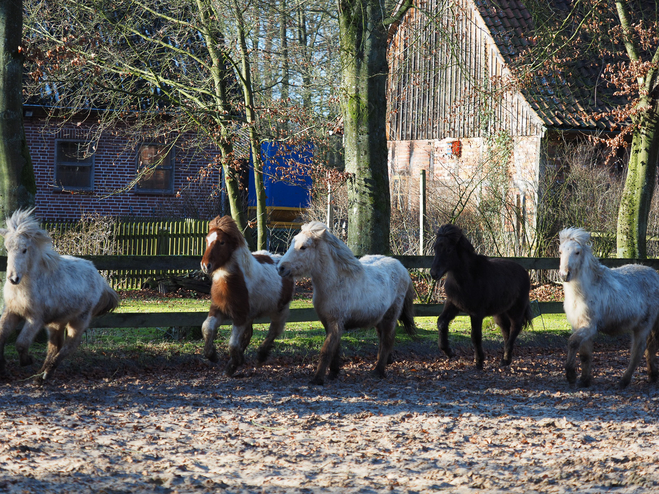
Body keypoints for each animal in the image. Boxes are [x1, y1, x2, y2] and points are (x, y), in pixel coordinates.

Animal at [200, 215, 296, 374]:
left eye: (222, 242)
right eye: (207, 240)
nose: (205, 266)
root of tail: (279, 260)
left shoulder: (240, 316)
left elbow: (232, 343)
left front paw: (232, 366)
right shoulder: (218, 309)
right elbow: (206, 327)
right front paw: (212, 355)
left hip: (280, 310)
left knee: (274, 331)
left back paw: (261, 356)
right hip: (252, 315)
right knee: (249, 334)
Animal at [278, 221, 412, 386]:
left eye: (303, 247)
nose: (281, 268)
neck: (335, 282)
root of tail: (401, 267)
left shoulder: (336, 322)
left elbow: (327, 350)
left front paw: (317, 379)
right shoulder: (328, 322)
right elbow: (335, 348)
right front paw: (333, 373)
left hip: (390, 316)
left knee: (387, 340)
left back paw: (378, 371)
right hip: (379, 318)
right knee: (382, 338)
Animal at [430, 226, 532, 368]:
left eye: (448, 249)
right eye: (435, 248)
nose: (433, 273)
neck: (468, 278)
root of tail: (524, 272)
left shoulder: (476, 313)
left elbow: (475, 336)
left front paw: (479, 361)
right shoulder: (453, 305)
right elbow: (441, 323)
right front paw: (449, 352)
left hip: (516, 309)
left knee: (515, 328)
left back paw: (505, 359)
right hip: (500, 313)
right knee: (506, 330)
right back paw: (506, 359)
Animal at [560, 226, 659, 388]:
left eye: (577, 252)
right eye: (560, 252)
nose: (564, 275)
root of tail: (656, 276)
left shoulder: (589, 326)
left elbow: (572, 342)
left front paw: (571, 376)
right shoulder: (578, 325)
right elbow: (585, 355)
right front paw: (584, 380)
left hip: (643, 326)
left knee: (638, 352)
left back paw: (624, 381)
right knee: (650, 349)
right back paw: (652, 376)